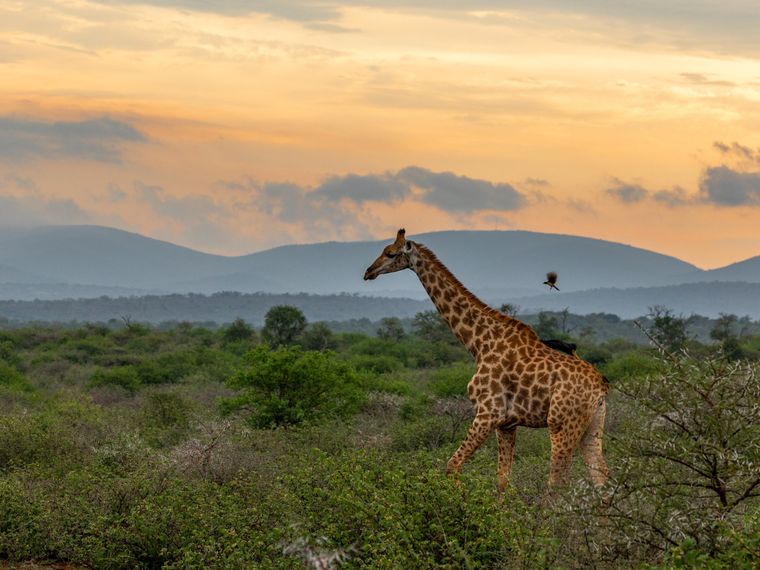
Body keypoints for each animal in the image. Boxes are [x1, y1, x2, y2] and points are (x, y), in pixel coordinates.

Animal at [363, 229, 609, 492]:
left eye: (391, 253)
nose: (368, 272)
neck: (479, 343)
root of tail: (601, 386)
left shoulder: (487, 413)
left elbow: (452, 466)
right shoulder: (506, 423)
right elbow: (502, 479)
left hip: (561, 424)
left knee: (557, 481)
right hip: (592, 426)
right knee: (601, 476)